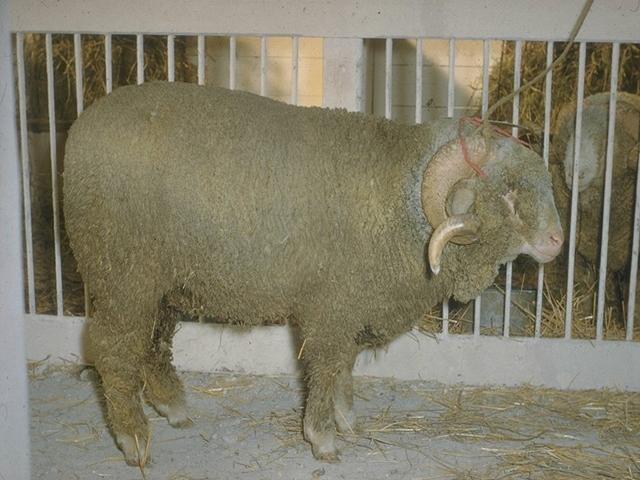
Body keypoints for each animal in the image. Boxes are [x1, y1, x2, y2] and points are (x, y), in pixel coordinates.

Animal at [63, 81, 563, 465]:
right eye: (509, 193)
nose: (558, 241)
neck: (398, 200)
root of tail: (81, 128)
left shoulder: (351, 303)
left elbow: (344, 364)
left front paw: (345, 419)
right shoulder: (331, 305)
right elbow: (324, 366)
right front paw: (322, 437)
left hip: (159, 278)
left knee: (152, 340)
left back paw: (173, 407)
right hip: (121, 270)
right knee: (111, 349)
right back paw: (133, 438)